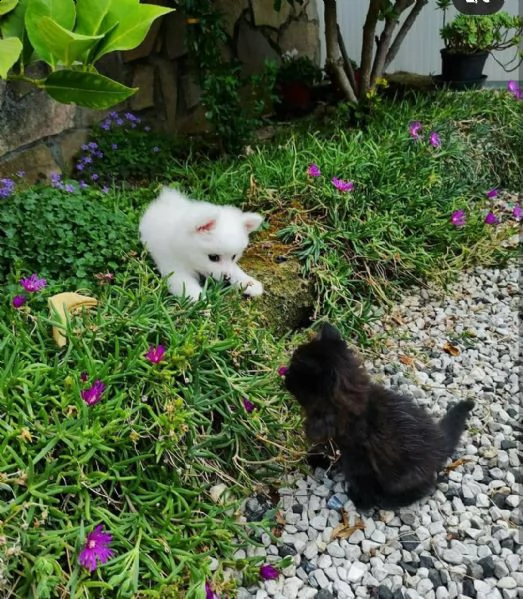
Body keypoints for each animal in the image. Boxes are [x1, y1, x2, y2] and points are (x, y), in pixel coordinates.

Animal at [284, 326, 476, 508]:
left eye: (294, 370)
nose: (285, 377)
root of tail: (440, 441)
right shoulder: (335, 441)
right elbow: (327, 448)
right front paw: (316, 458)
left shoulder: (357, 457)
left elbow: (361, 480)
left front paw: (361, 501)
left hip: (402, 475)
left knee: (427, 486)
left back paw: (393, 500)